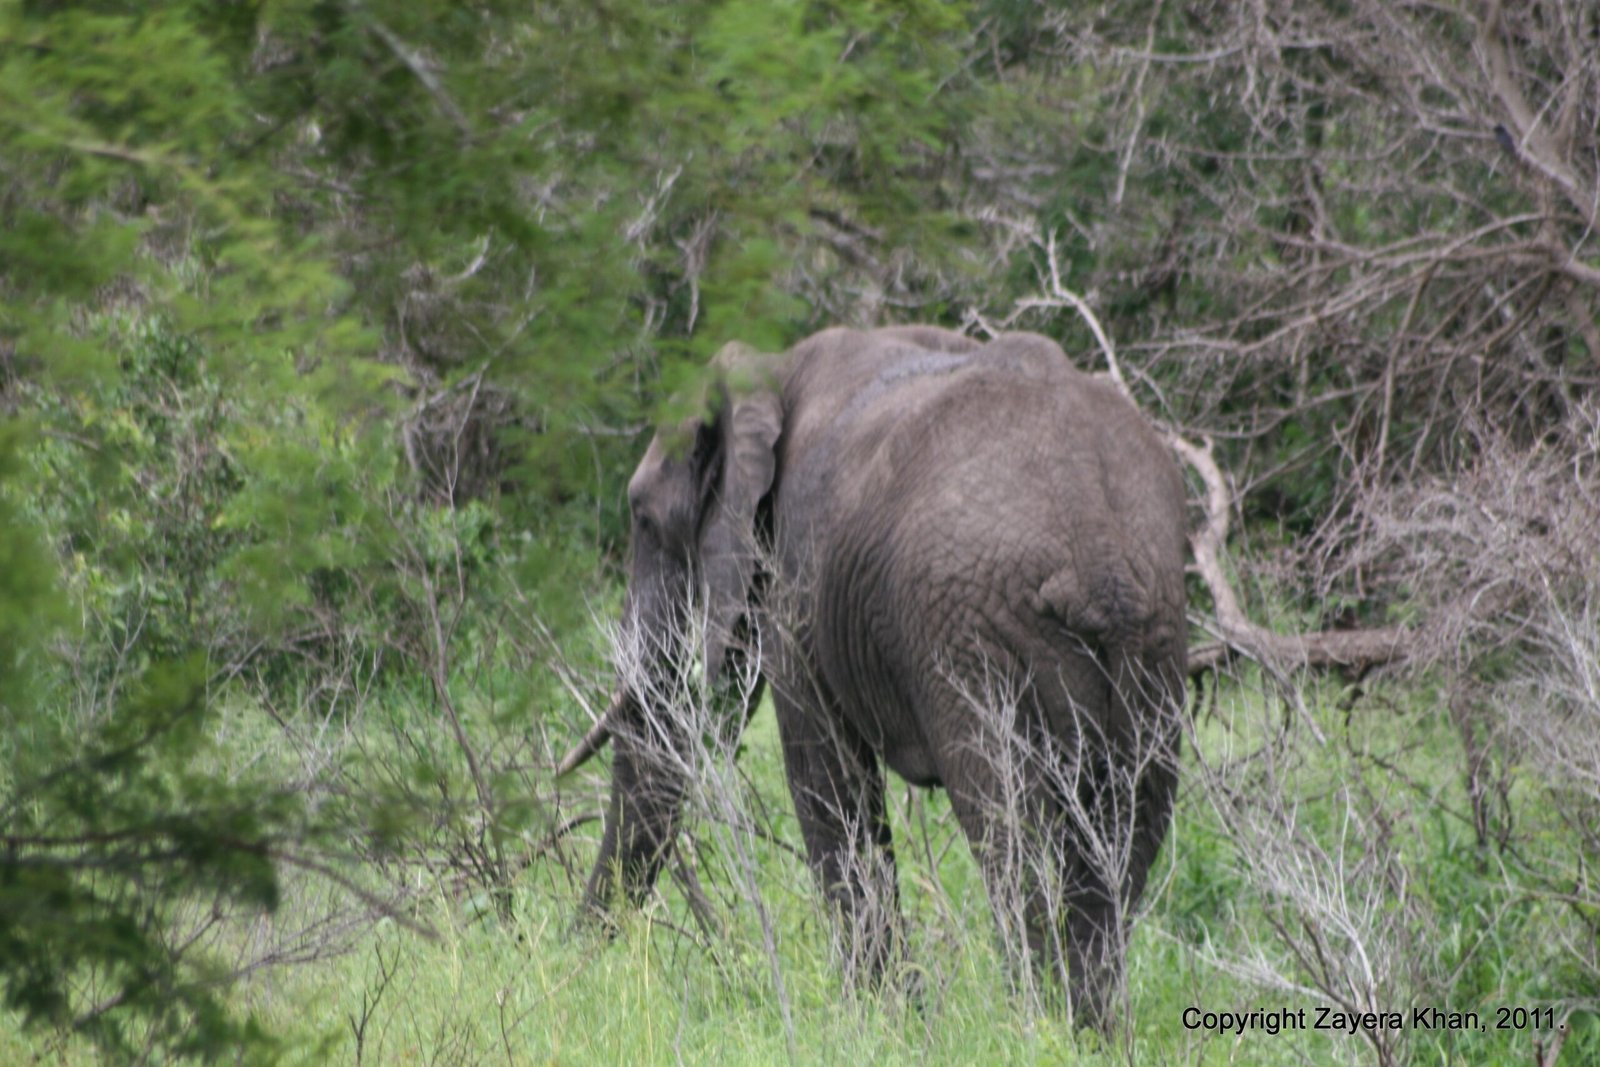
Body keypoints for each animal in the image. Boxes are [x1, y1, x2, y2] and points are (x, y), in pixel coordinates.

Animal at [561, 325, 1188, 1027]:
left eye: (643, 518)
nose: (564, 966)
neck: (771, 370)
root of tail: (1100, 553)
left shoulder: (800, 579)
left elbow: (826, 781)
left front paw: (879, 1022)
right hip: (1156, 637)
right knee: (1124, 841)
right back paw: (1089, 1030)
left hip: (972, 637)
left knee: (1008, 830)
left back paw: (1033, 1024)